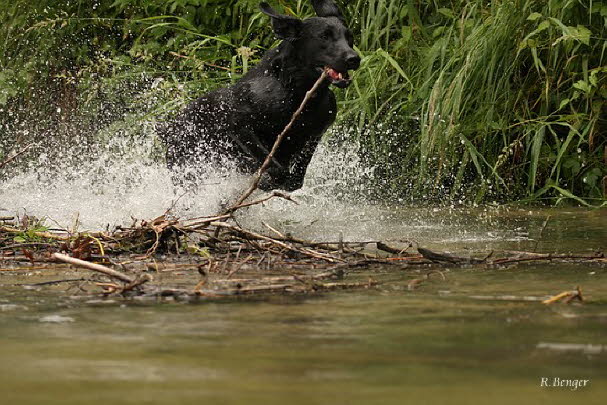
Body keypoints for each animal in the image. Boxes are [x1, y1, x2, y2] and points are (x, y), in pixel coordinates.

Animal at [162, 0, 360, 191]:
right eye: (324, 36)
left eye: (350, 38)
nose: (354, 58)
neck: (296, 92)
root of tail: (168, 127)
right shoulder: (239, 126)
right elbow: (272, 166)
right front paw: (265, 179)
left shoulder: (315, 134)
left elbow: (296, 178)